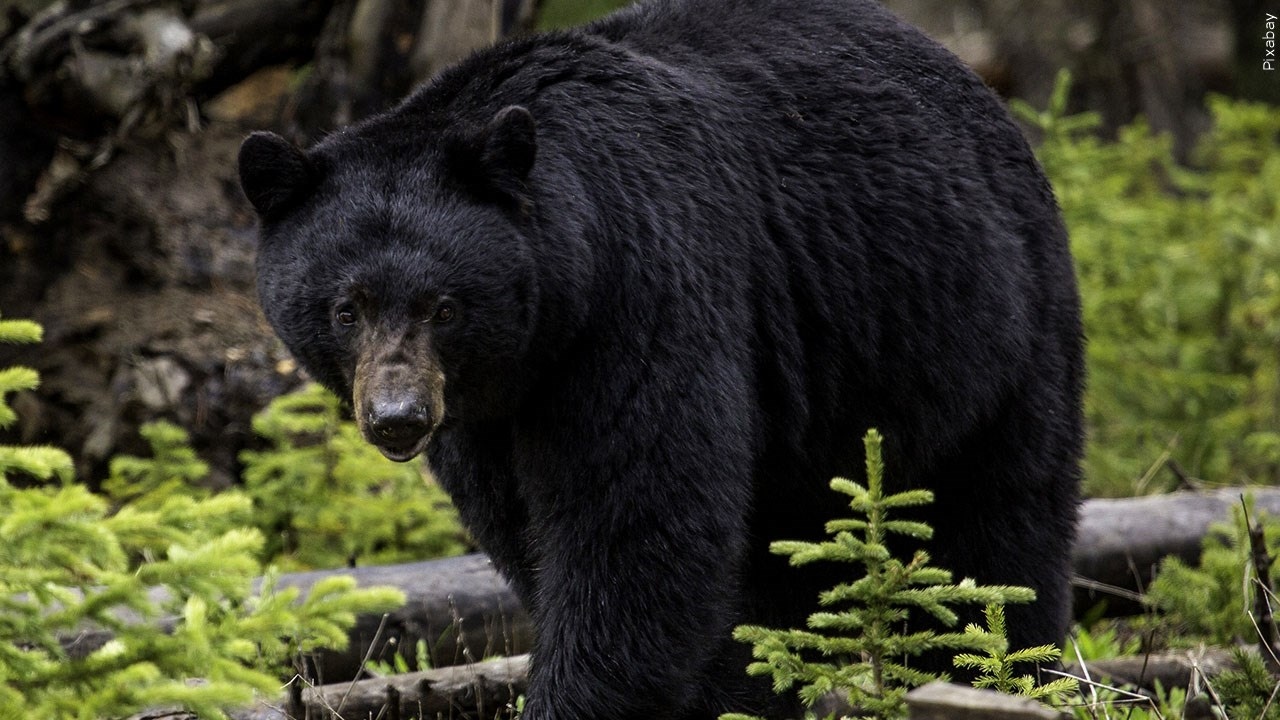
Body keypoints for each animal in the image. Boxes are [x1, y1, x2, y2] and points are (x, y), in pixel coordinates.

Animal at [237, 0, 1085, 716]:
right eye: (346, 308)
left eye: (443, 306)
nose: (398, 418)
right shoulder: (486, 415)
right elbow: (527, 531)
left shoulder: (644, 295)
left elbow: (636, 527)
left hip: (984, 331)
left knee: (998, 532)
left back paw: (1000, 670)